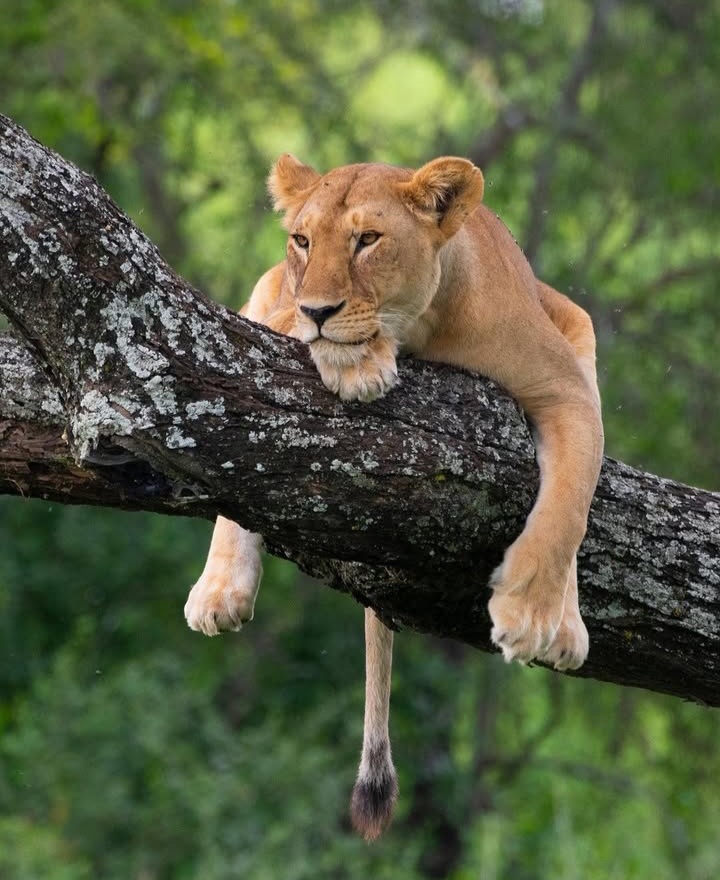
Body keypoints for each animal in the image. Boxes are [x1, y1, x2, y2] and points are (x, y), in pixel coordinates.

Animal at [183, 154, 604, 839]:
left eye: (367, 240)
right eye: (302, 240)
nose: (318, 309)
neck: (422, 330)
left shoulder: (565, 388)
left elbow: (571, 502)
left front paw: (529, 615)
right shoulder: (272, 314)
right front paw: (357, 363)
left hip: (574, 321)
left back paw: (565, 627)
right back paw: (220, 591)